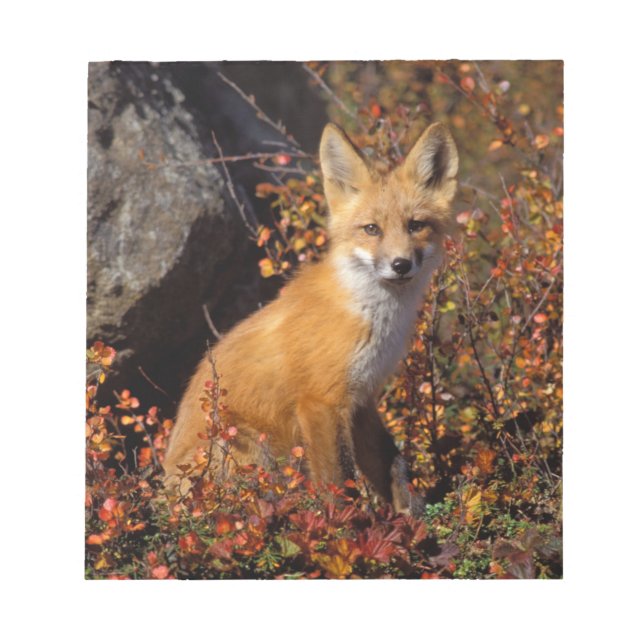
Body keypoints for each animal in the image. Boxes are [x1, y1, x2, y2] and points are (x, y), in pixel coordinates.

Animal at [163, 121, 458, 514]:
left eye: (416, 225)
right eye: (371, 229)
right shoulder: (321, 401)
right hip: (251, 448)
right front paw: (350, 525)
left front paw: (409, 514)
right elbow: (340, 482)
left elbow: (391, 463)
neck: (371, 317)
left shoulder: (361, 398)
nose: (401, 265)